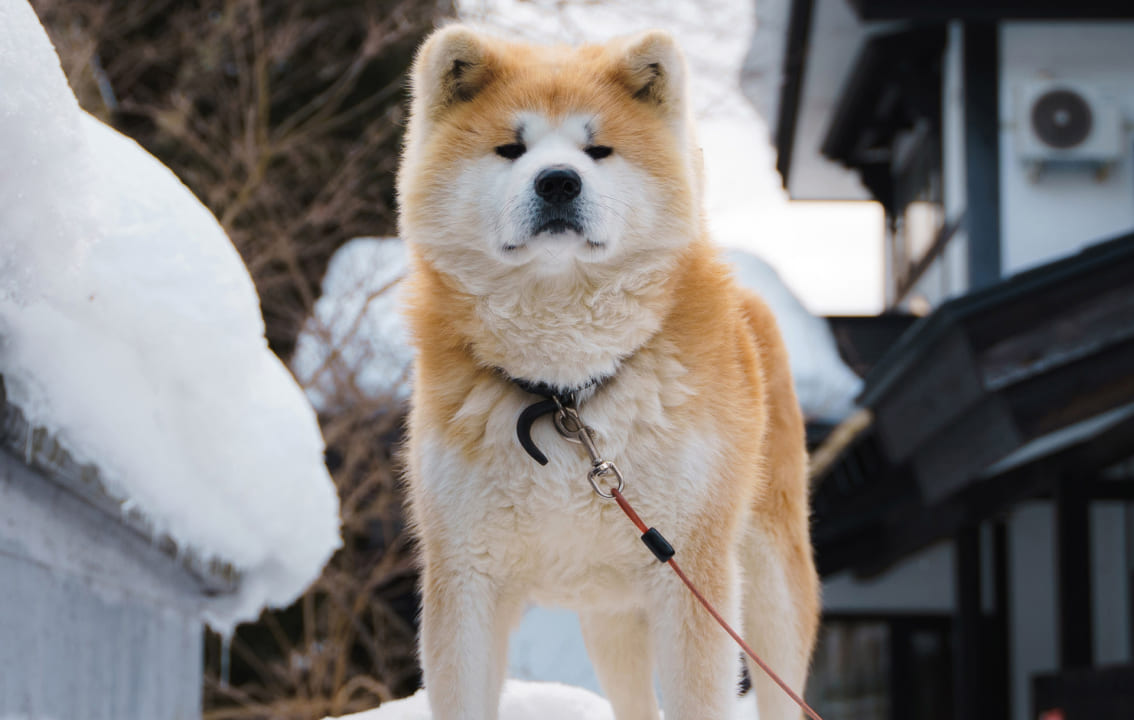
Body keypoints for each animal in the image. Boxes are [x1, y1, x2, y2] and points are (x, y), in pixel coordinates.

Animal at [396, 23, 816, 720]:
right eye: (511, 149)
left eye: (599, 150)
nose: (558, 182)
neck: (565, 391)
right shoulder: (465, 580)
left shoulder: (691, 579)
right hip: (610, 617)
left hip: (769, 594)